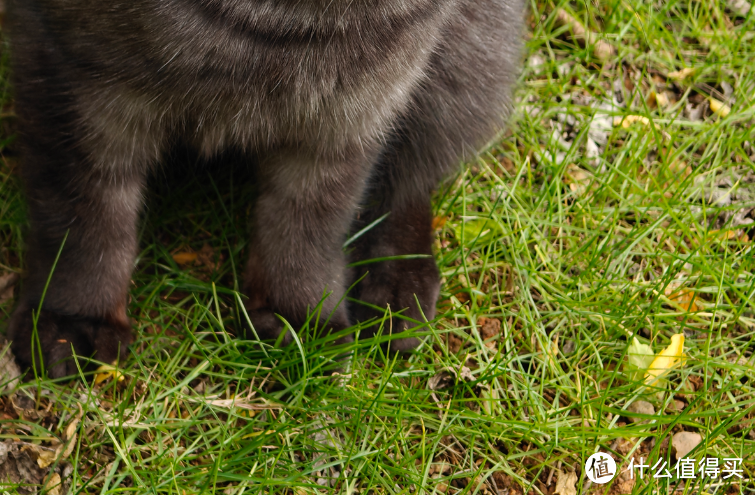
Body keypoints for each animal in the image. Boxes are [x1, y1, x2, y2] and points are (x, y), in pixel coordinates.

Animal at [7, 0, 524, 380]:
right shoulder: (75, 85)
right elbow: (85, 221)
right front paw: (74, 320)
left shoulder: (353, 113)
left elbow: (306, 228)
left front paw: (300, 320)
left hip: (467, 65)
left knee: (408, 190)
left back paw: (398, 290)